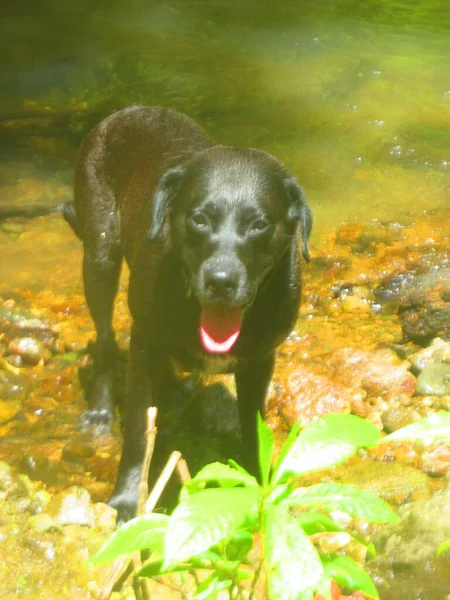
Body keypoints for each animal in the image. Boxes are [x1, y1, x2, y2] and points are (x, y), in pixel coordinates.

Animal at [61, 105, 312, 524]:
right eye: (199, 219)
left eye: (259, 224)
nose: (221, 281)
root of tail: (126, 112)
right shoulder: (143, 342)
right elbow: (138, 431)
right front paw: (128, 499)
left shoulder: (260, 360)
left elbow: (253, 427)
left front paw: (259, 490)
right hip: (98, 256)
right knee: (105, 340)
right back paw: (100, 411)